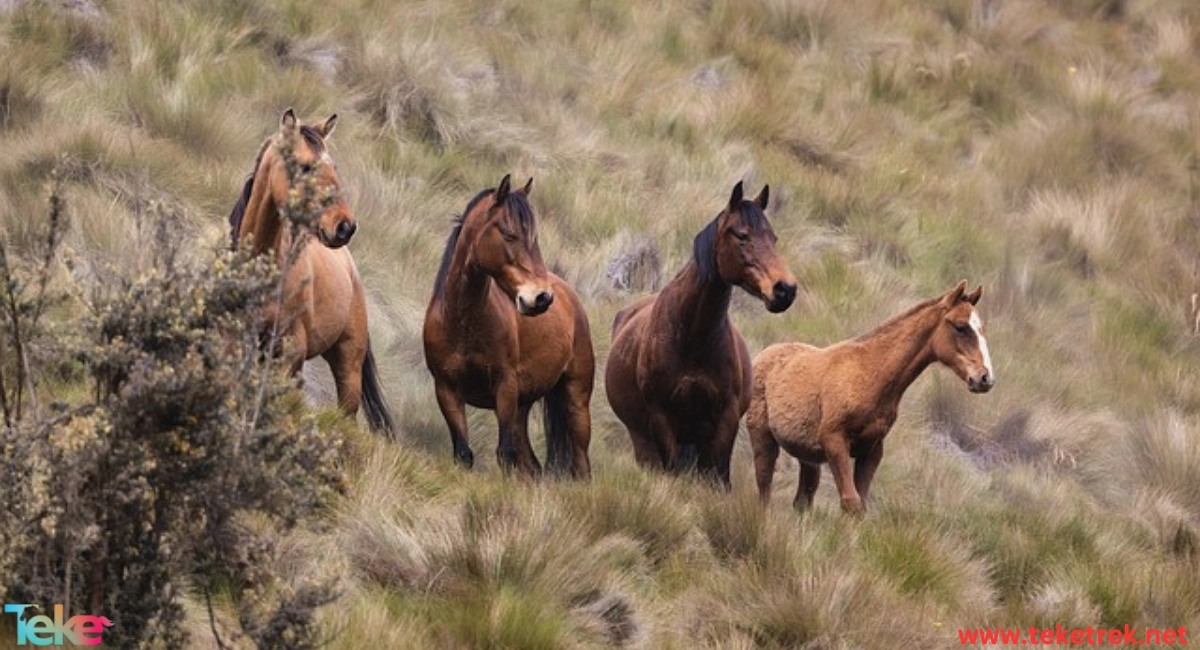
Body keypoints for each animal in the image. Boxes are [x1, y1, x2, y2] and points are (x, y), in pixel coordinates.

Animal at [422, 172, 595, 479]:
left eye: (534, 239)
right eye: (508, 234)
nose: (541, 298)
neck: (462, 322)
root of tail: (569, 295)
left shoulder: (505, 386)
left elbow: (505, 454)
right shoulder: (447, 390)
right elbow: (464, 454)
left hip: (576, 400)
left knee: (581, 465)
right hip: (521, 409)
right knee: (531, 466)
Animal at [609, 181, 796, 486]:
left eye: (773, 238)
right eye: (742, 235)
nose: (785, 290)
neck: (692, 338)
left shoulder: (725, 418)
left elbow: (718, 476)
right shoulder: (662, 416)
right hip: (644, 440)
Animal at [748, 283, 993, 518]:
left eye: (982, 329)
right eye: (960, 327)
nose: (985, 378)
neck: (871, 374)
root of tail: (763, 355)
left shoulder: (872, 450)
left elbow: (860, 505)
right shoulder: (834, 441)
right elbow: (851, 502)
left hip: (807, 456)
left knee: (802, 501)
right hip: (763, 440)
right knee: (764, 490)